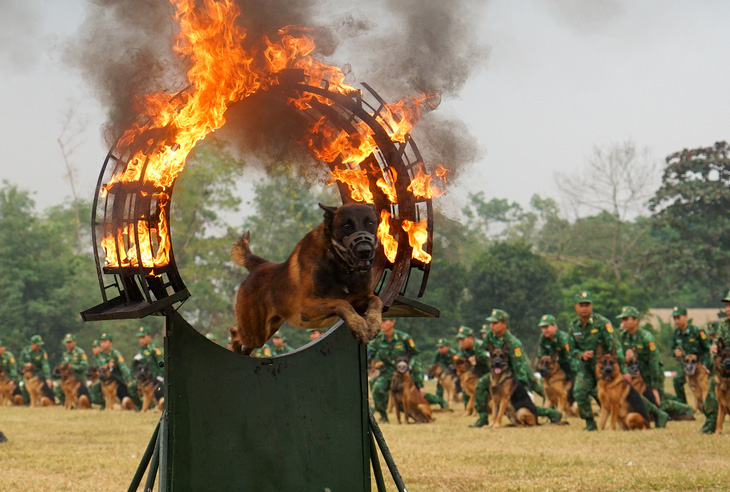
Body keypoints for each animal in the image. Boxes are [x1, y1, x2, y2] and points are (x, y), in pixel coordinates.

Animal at [230, 204, 382, 354]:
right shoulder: (307, 305)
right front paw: (359, 326)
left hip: (267, 330)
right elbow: (341, 303)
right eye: (346, 226)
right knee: (235, 333)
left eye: (370, 224)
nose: (365, 251)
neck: (340, 265)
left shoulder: (359, 300)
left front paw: (373, 323)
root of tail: (261, 265)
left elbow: (376, 300)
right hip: (255, 332)